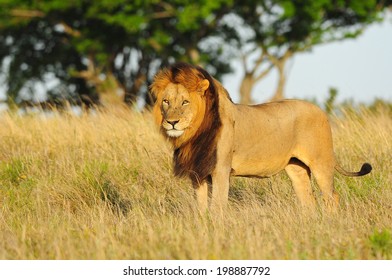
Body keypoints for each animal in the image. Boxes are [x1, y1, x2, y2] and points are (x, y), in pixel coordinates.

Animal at [149, 62, 370, 211]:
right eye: (166, 101)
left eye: (185, 102)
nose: (172, 122)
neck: (194, 134)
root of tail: (321, 110)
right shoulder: (198, 172)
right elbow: (201, 208)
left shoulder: (220, 169)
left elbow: (218, 207)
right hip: (296, 167)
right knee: (308, 200)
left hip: (320, 161)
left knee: (332, 197)